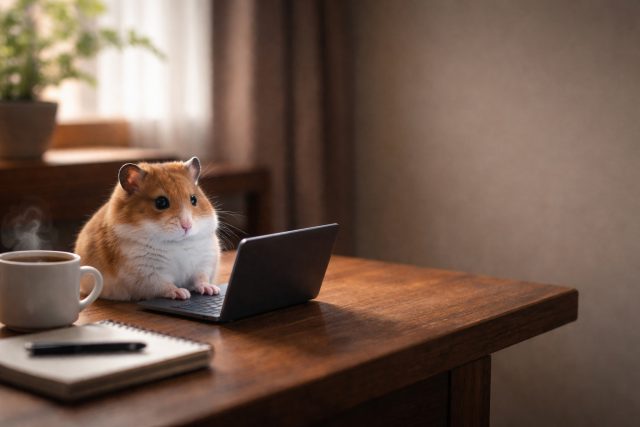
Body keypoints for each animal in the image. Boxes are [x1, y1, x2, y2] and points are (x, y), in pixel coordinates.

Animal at [74, 157, 221, 301]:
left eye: (194, 199)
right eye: (161, 202)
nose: (187, 226)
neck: (176, 242)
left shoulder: (204, 263)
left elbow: (201, 279)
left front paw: (212, 290)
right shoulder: (148, 274)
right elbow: (165, 285)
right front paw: (182, 293)